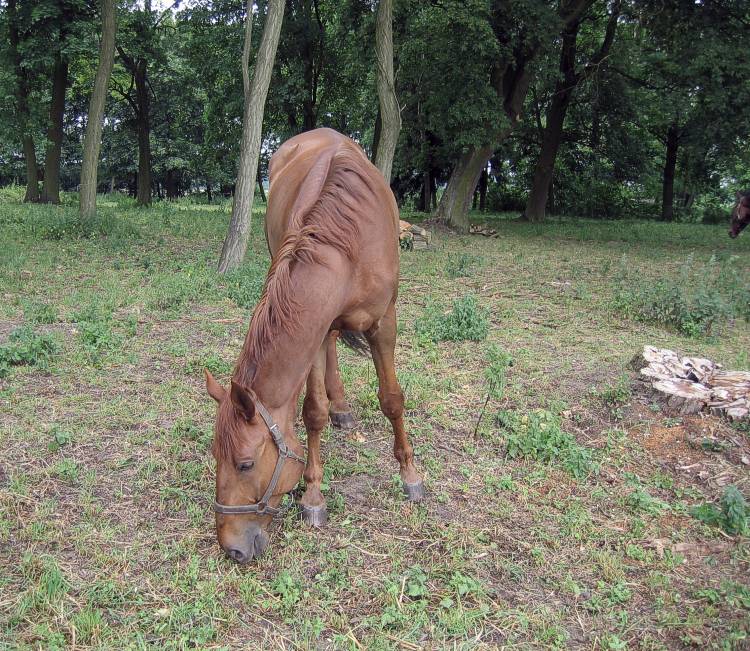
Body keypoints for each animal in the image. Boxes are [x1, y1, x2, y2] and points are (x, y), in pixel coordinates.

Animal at [206, 129, 426, 564]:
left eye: (244, 464)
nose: (231, 548)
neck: (347, 245)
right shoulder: (317, 328)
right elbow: (312, 413)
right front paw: (312, 494)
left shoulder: (385, 321)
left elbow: (392, 399)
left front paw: (409, 475)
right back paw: (338, 405)